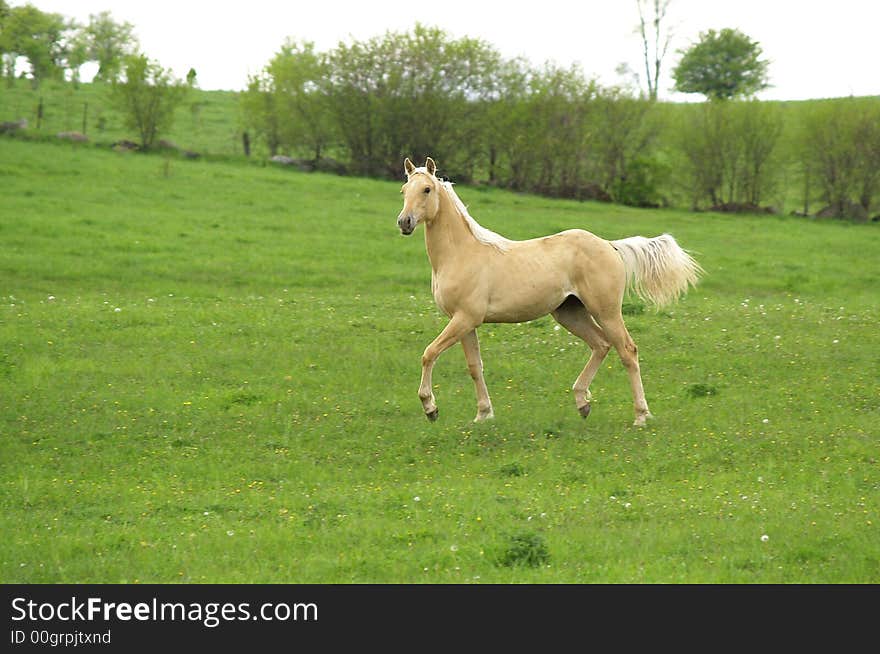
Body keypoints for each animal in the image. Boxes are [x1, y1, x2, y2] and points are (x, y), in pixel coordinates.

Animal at [398, 157, 700, 428]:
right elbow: (474, 366)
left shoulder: (465, 318)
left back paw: (640, 416)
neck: (461, 254)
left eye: (427, 189)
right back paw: (582, 402)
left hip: (606, 311)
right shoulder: (466, 322)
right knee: (601, 344)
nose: (405, 222)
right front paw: (483, 415)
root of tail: (609, 245)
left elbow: (429, 353)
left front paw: (430, 408)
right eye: (404, 190)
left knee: (627, 350)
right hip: (569, 312)